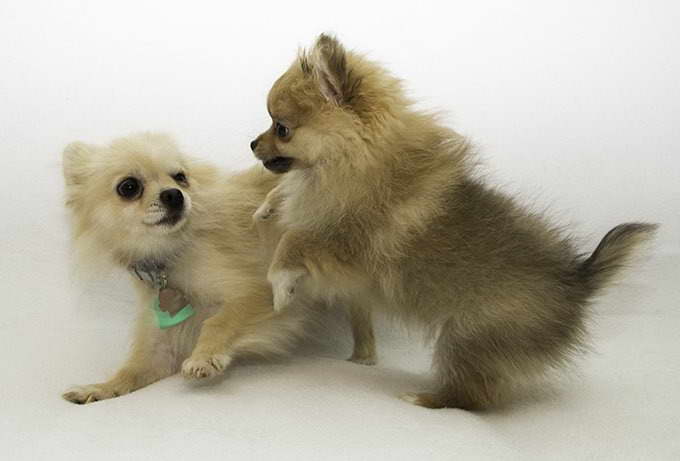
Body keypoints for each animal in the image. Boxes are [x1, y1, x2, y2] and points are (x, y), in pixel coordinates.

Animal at [61, 132, 374, 402]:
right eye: (128, 187)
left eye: (180, 177)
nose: (174, 194)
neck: (174, 255)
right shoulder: (162, 344)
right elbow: (132, 370)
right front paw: (99, 388)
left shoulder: (257, 291)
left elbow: (219, 321)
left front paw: (205, 357)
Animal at [251, 36, 660, 410]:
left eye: (281, 128)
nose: (253, 144)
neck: (352, 161)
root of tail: (576, 280)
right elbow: (287, 200)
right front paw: (268, 206)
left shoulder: (347, 244)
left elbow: (292, 241)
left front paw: (281, 288)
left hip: (469, 338)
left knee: (471, 398)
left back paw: (423, 398)